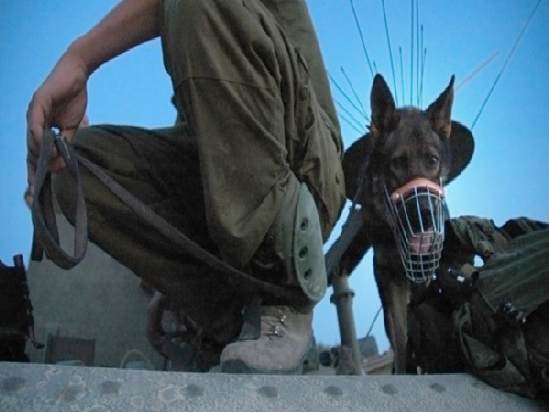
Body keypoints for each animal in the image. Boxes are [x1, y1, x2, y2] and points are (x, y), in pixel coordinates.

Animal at [335, 74, 474, 373]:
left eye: (432, 160)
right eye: (397, 162)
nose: (424, 213)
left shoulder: (431, 270)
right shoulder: (390, 280)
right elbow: (400, 336)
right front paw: (402, 368)